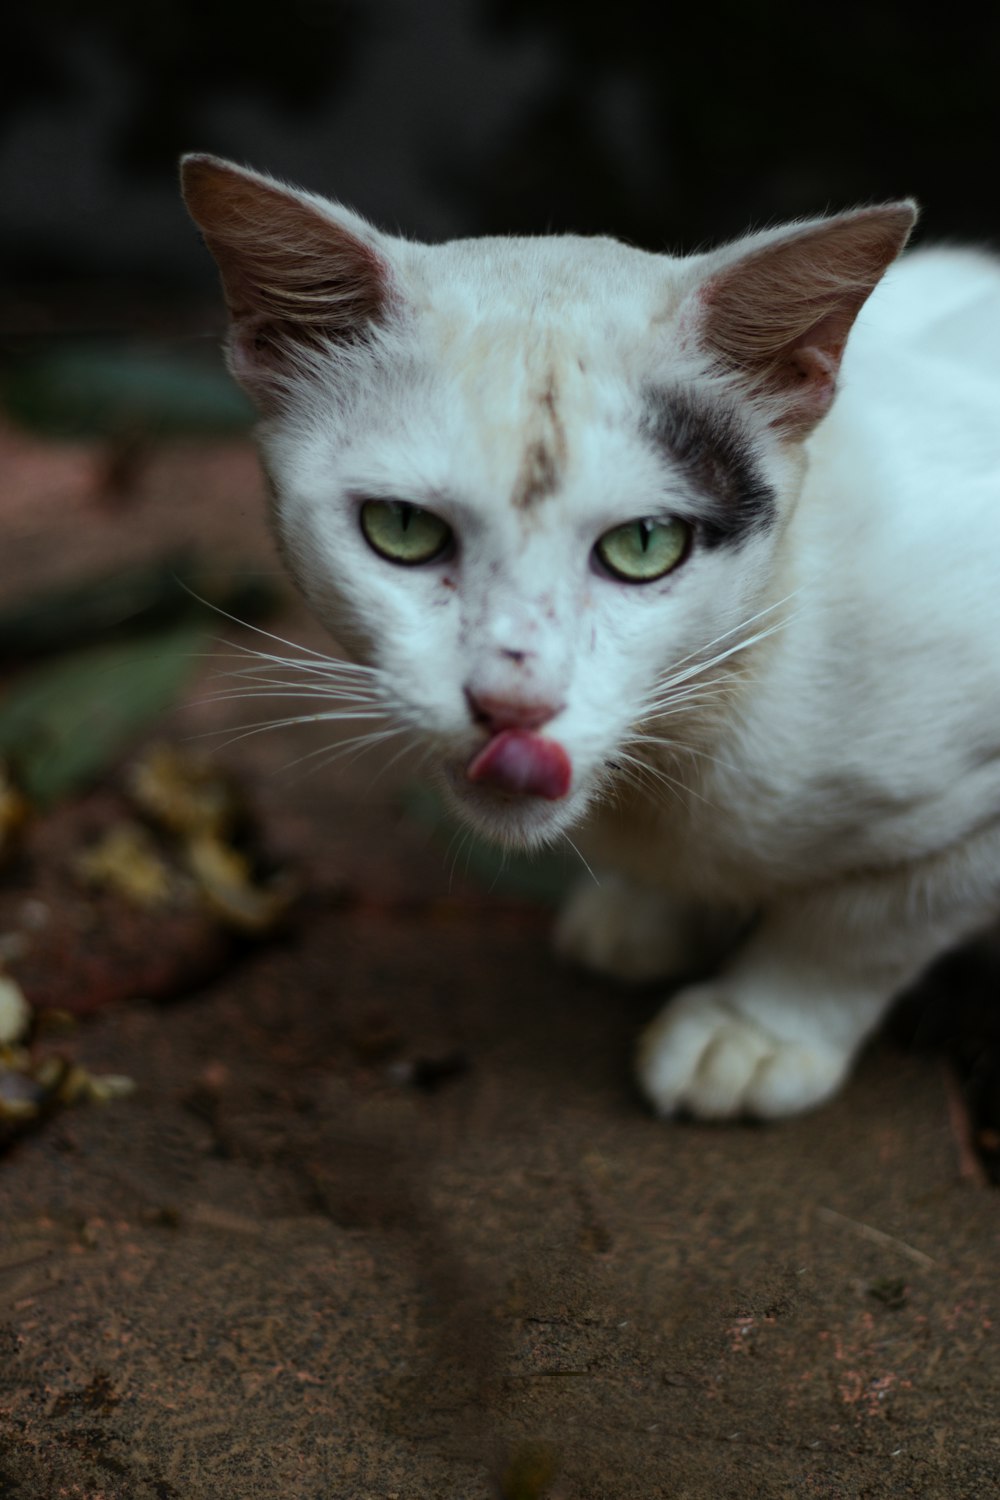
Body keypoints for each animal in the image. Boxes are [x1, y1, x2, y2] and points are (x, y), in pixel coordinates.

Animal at [183, 161, 1000, 1128]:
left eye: (645, 544)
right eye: (403, 530)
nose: (514, 700)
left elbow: (863, 928)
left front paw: (757, 1028)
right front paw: (646, 914)